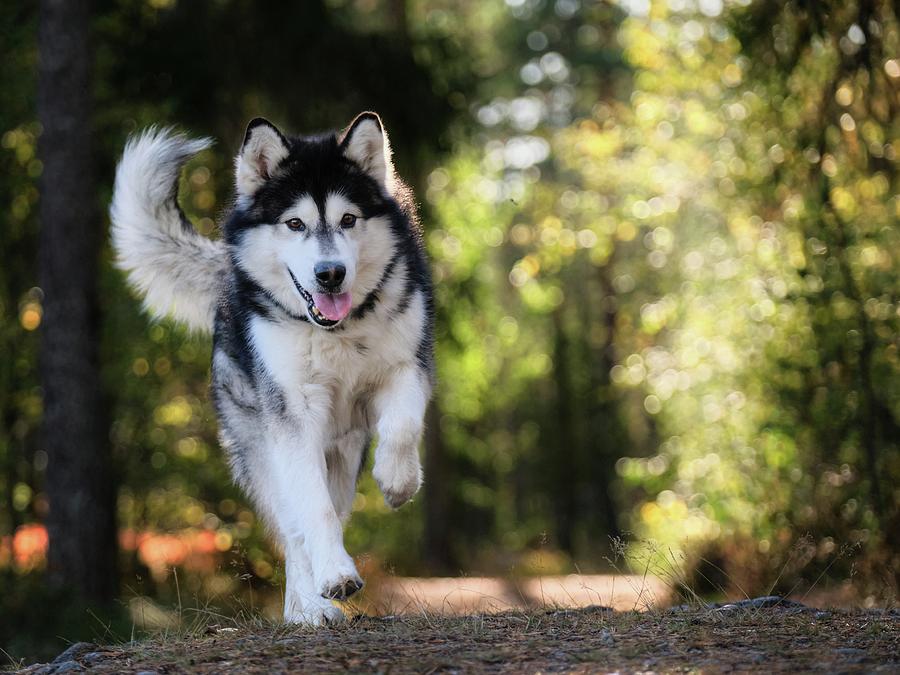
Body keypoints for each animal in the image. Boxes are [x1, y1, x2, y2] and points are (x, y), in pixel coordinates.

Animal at [110, 113, 436, 624]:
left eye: (348, 219)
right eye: (295, 223)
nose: (330, 274)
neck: (336, 332)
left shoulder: (407, 365)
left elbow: (401, 427)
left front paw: (398, 482)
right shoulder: (293, 416)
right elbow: (313, 512)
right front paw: (333, 578)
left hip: (342, 453)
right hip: (266, 450)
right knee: (296, 528)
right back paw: (309, 607)